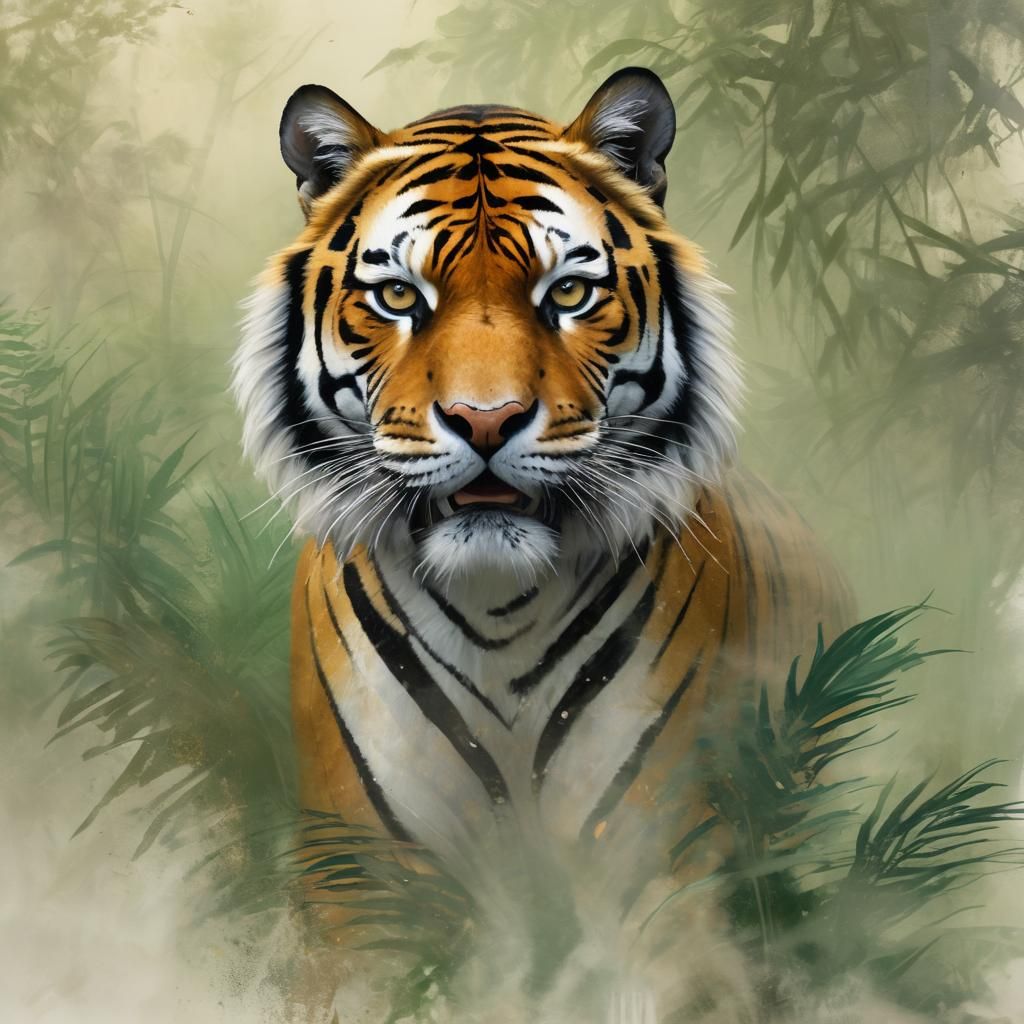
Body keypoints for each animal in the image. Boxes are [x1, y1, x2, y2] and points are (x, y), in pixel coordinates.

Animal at [233, 67, 851, 1012]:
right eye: (399, 296)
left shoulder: (657, 858)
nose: (486, 420)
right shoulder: (363, 879)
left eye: (567, 293)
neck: (496, 604)